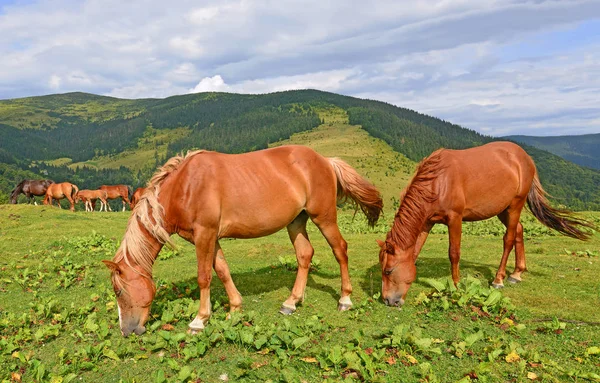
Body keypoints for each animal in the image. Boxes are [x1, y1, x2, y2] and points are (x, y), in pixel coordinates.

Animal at [102, 146, 384, 338]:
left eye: (119, 291)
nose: (127, 330)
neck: (185, 186)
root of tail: (325, 161)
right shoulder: (208, 238)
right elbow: (222, 270)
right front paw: (235, 308)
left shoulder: (204, 234)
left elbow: (204, 276)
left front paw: (199, 320)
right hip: (296, 221)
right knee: (305, 254)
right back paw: (291, 302)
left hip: (323, 217)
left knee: (340, 250)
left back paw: (345, 299)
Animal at [380, 142, 596, 308]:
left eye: (388, 271)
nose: (388, 301)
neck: (438, 181)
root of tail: (524, 158)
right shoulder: (427, 223)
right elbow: (415, 252)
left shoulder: (455, 219)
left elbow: (454, 253)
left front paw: (456, 286)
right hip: (503, 209)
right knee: (519, 230)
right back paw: (517, 273)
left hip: (516, 204)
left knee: (509, 238)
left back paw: (499, 279)